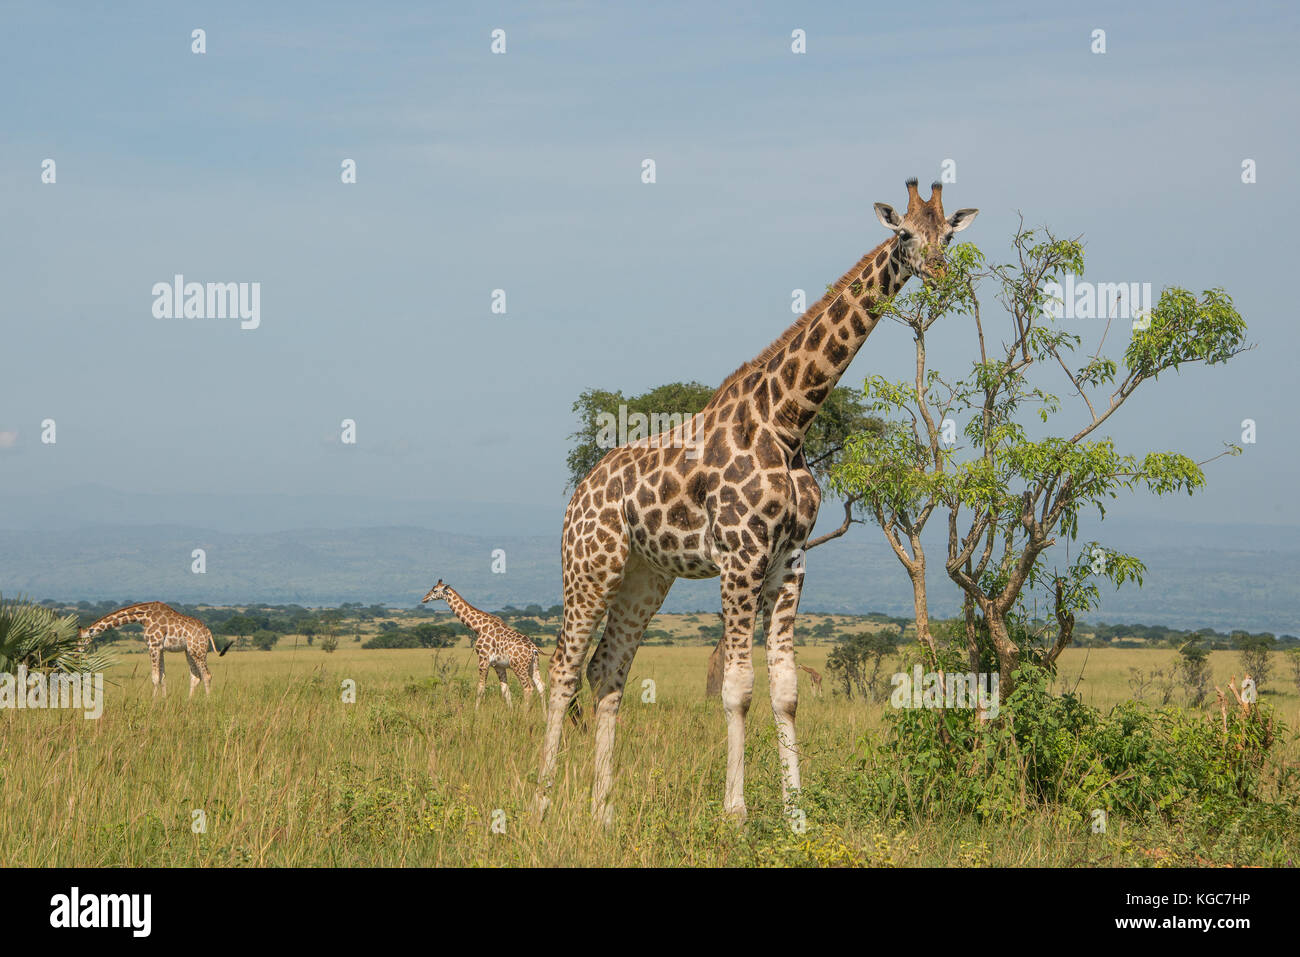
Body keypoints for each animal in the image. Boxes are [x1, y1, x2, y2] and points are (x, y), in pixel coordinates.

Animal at [78, 601, 231, 697]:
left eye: (81, 641)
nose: (77, 653)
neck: (143, 616)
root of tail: (208, 632)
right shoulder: (160, 648)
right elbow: (162, 677)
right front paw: (163, 702)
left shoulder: (153, 645)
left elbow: (155, 677)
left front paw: (153, 704)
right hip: (189, 651)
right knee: (195, 676)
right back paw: (188, 703)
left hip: (198, 650)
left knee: (207, 675)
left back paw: (208, 701)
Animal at [539, 179, 977, 822]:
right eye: (903, 234)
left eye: (946, 234)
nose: (941, 272)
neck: (789, 421)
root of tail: (578, 494)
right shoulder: (741, 556)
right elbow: (738, 688)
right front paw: (736, 813)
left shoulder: (790, 560)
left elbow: (787, 689)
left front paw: (797, 817)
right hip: (592, 566)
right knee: (564, 670)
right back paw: (540, 805)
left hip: (646, 578)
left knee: (607, 671)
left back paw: (604, 814)